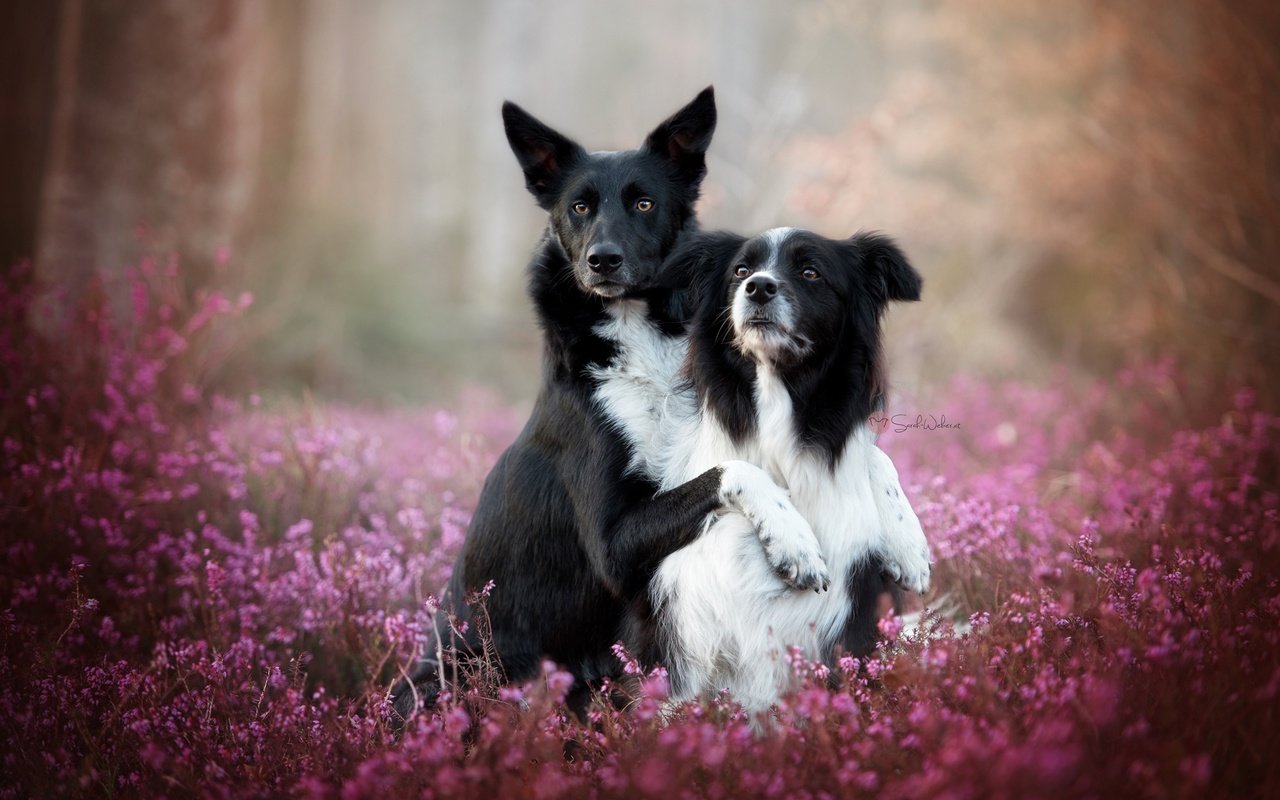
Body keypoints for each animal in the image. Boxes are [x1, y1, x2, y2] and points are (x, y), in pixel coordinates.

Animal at [394, 87, 824, 716]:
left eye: (644, 203)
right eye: (579, 207)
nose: (603, 259)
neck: (637, 340)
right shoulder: (613, 546)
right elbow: (734, 471)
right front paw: (795, 540)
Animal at [609, 227, 931, 716]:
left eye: (811, 271)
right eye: (740, 270)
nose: (758, 287)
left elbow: (873, 456)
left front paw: (909, 545)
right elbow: (735, 469)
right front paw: (794, 544)